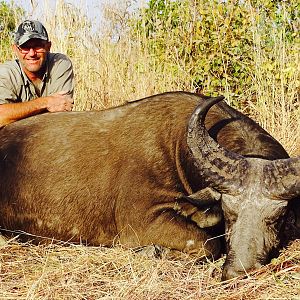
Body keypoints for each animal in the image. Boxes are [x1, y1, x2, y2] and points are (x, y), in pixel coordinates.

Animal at [0, 91, 298, 278]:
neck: (178, 147)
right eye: (228, 213)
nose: (239, 272)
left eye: (278, 217)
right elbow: (208, 245)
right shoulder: (143, 222)